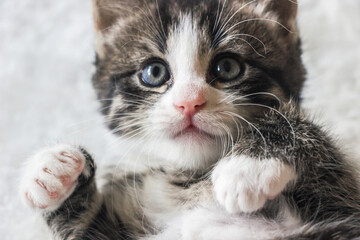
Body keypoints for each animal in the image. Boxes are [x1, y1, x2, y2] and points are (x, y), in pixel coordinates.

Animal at [19, 0, 360, 239]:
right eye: (154, 72)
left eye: (227, 67)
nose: (188, 102)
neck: (190, 179)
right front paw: (53, 168)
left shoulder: (344, 201)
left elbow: (307, 133)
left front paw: (249, 166)